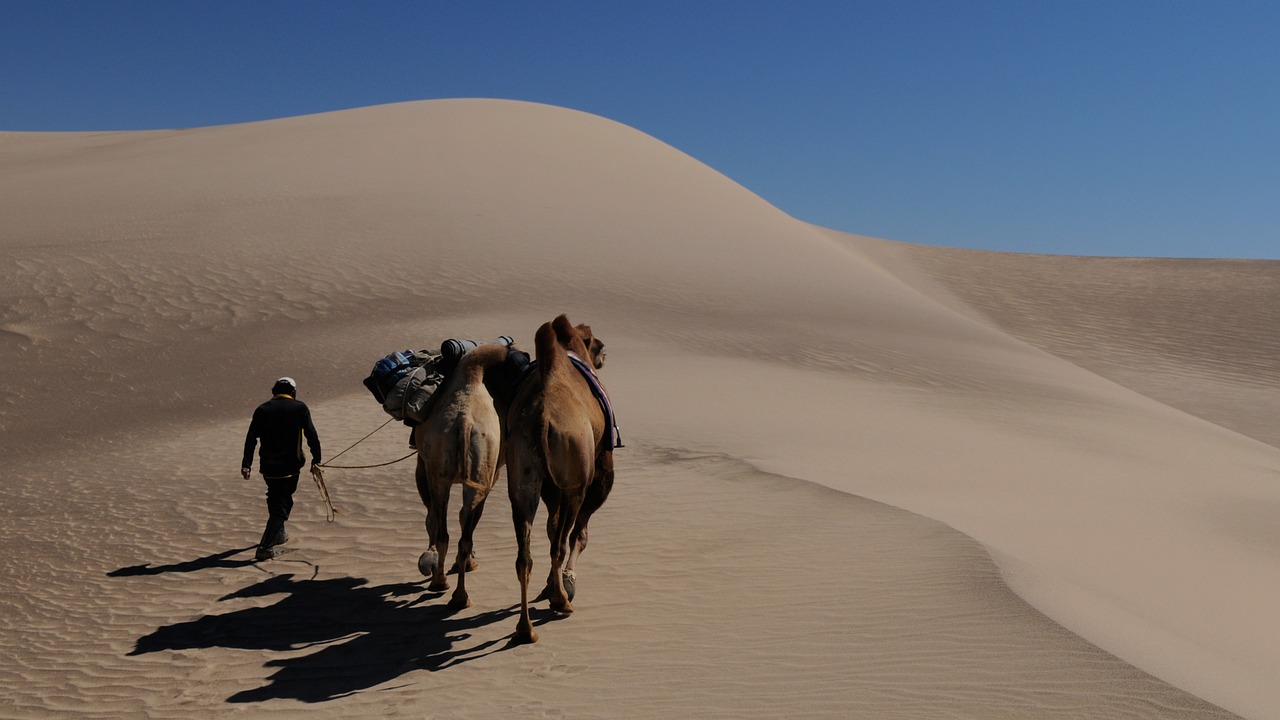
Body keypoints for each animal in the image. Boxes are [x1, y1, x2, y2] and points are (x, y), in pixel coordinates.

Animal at [412, 340, 527, 604]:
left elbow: (436, 517)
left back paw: (444, 584)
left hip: (445, 473)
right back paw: (457, 594)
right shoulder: (490, 475)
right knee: (459, 531)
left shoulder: (424, 465)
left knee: (445, 529)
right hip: (475, 470)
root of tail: (464, 421)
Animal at [504, 312, 614, 638]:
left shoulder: (548, 487)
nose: (604, 353)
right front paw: (565, 583)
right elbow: (580, 534)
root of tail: (541, 418)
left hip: (522, 477)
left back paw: (525, 629)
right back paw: (561, 601)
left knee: (525, 555)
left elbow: (552, 527)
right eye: (596, 343)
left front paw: (552, 585)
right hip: (574, 478)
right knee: (560, 543)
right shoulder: (599, 471)